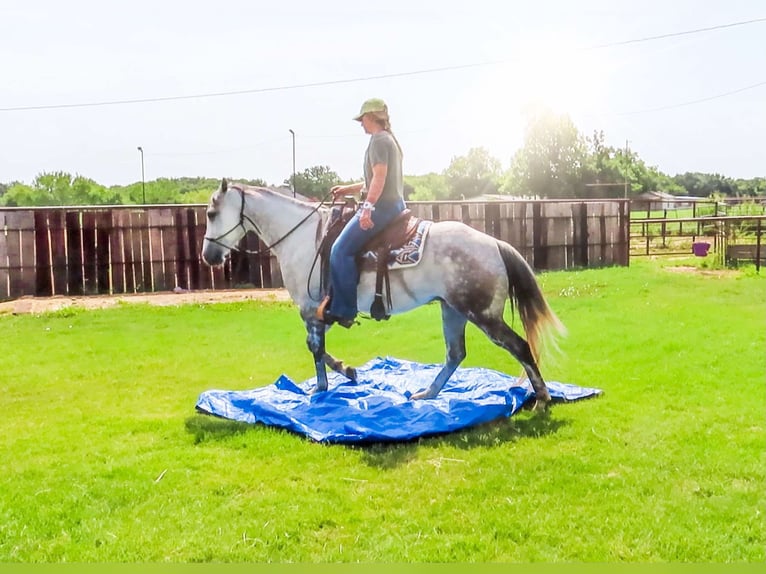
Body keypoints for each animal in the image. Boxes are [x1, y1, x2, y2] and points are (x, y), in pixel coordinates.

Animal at [201, 179, 565, 409]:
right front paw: (348, 371)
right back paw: (426, 394)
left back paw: (542, 397)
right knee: (455, 354)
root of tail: (494, 243)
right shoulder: (321, 310)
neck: (303, 237)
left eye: (211, 213)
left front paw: (322, 389)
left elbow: (315, 348)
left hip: (482, 314)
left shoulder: (310, 309)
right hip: (452, 309)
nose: (209, 256)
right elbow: (319, 347)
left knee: (519, 346)